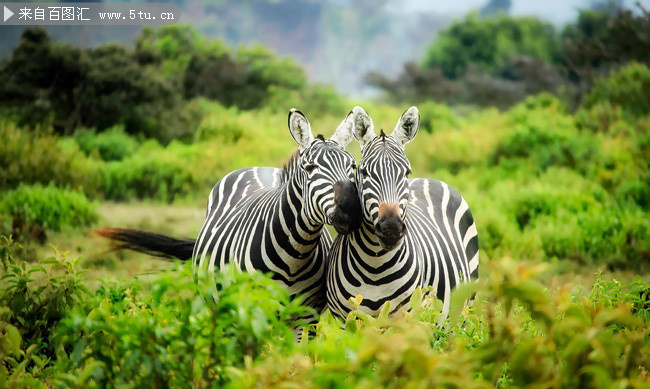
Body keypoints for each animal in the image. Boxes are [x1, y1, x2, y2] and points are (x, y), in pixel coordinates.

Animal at [97, 107, 360, 316]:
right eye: (310, 168)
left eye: (353, 166)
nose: (351, 209)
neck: (295, 255)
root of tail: (258, 167)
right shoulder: (251, 309)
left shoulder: (306, 317)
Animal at [326, 105, 478, 318]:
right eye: (364, 172)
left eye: (406, 172)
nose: (391, 229)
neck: (375, 266)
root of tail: (429, 179)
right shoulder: (344, 318)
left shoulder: (407, 317)